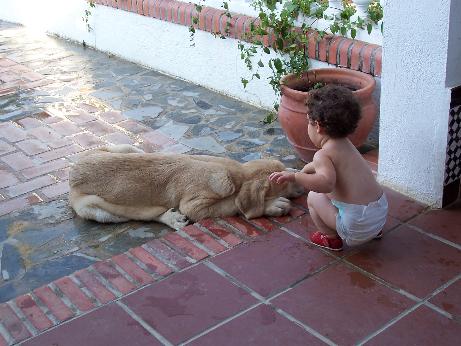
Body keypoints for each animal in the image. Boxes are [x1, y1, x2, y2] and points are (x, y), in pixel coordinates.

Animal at [68, 145, 304, 228]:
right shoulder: (195, 205)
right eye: (283, 183)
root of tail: (72, 171)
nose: (303, 184)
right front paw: (273, 205)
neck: (235, 173)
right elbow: (232, 205)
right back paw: (172, 219)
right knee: (143, 215)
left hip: (126, 147)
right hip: (95, 208)